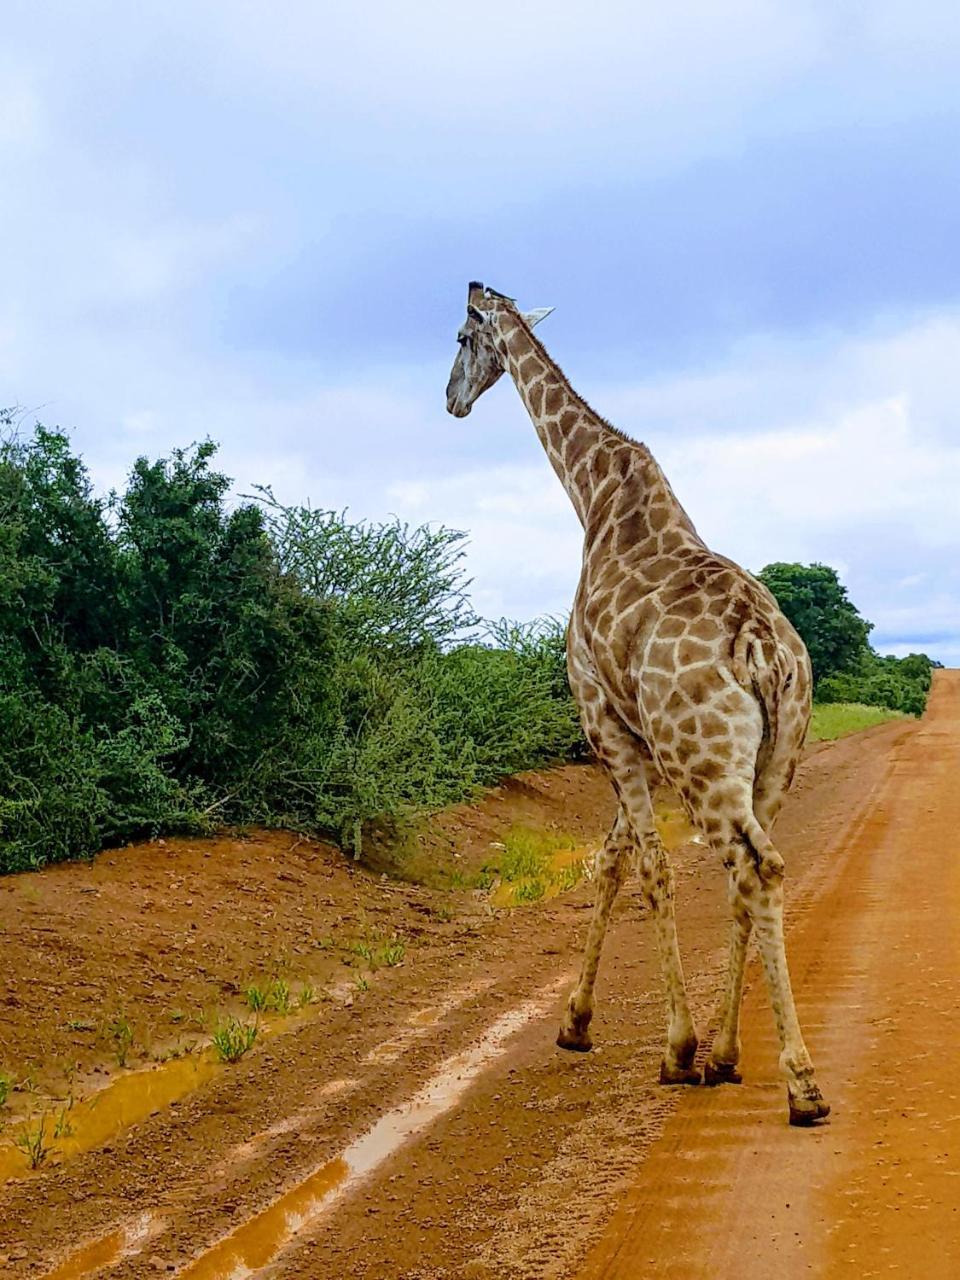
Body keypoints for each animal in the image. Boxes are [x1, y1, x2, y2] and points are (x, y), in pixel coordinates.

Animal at [448, 280, 829, 1121]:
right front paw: (577, 1024)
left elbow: (647, 868)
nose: (451, 400)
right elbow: (614, 860)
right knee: (756, 872)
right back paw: (730, 1055)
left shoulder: (601, 718)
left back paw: (796, 1081)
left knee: (752, 867)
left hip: (704, 759)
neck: (592, 494)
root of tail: (762, 648)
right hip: (772, 761)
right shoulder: (639, 738)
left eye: (459, 336)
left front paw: (672, 1049)